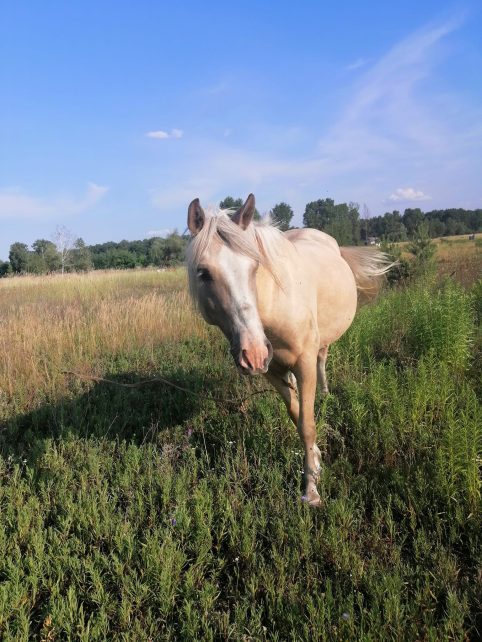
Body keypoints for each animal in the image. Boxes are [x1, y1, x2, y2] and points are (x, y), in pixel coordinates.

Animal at [186, 192, 394, 502]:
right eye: (203, 273)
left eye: (255, 267)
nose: (253, 353)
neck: (275, 305)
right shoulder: (272, 370)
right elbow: (296, 415)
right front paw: (316, 459)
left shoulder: (304, 362)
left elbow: (307, 425)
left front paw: (312, 490)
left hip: (320, 346)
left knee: (323, 360)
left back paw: (326, 392)